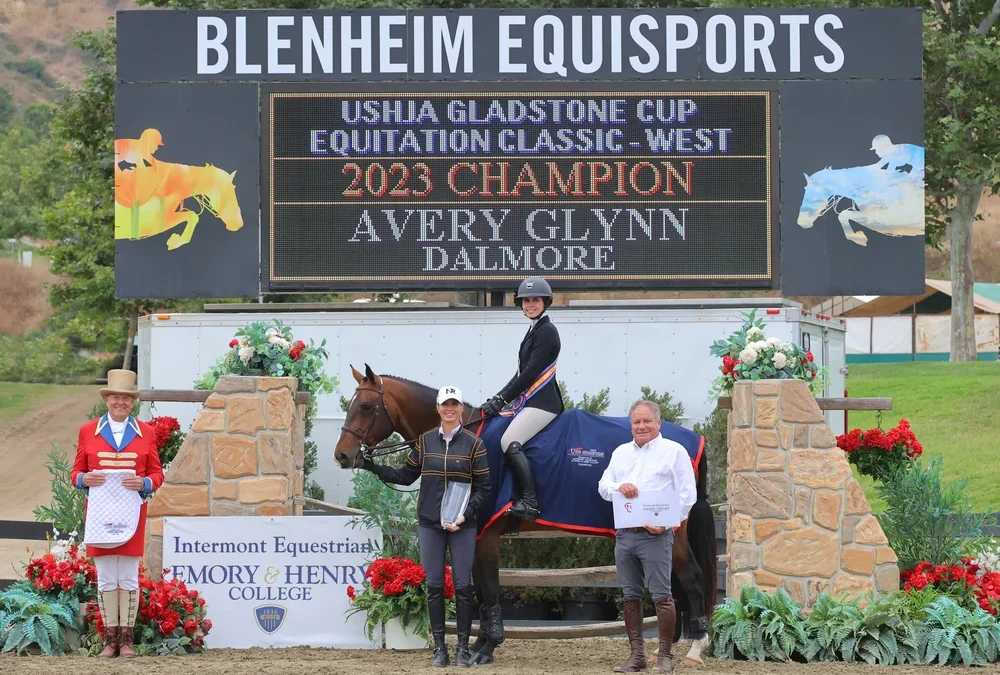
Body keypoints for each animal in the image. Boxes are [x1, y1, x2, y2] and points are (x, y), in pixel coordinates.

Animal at [336, 364, 720, 664]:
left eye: (367, 406)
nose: (343, 455)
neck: (467, 433)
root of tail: (691, 438)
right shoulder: (476, 532)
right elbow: (481, 591)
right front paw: (481, 644)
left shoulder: (486, 533)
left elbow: (490, 588)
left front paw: (487, 647)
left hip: (672, 530)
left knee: (692, 578)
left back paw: (695, 648)